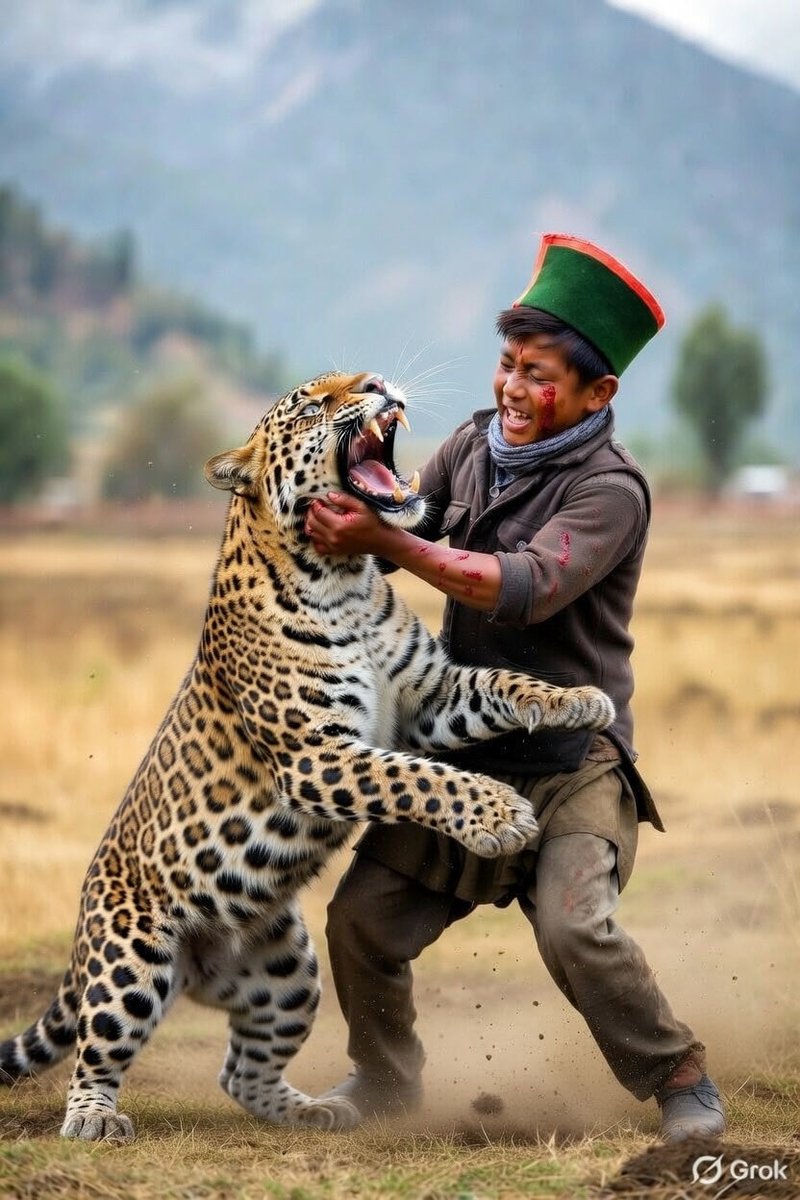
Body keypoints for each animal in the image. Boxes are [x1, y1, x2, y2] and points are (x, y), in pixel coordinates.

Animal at [0, 369, 615, 1142]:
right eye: (312, 403)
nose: (378, 381)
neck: (341, 574)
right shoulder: (315, 754)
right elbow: (421, 778)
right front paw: (499, 813)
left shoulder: (430, 699)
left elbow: (501, 684)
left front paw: (580, 701)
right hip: (131, 962)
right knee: (98, 1049)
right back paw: (93, 1119)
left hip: (286, 972)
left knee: (240, 1071)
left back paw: (318, 1110)